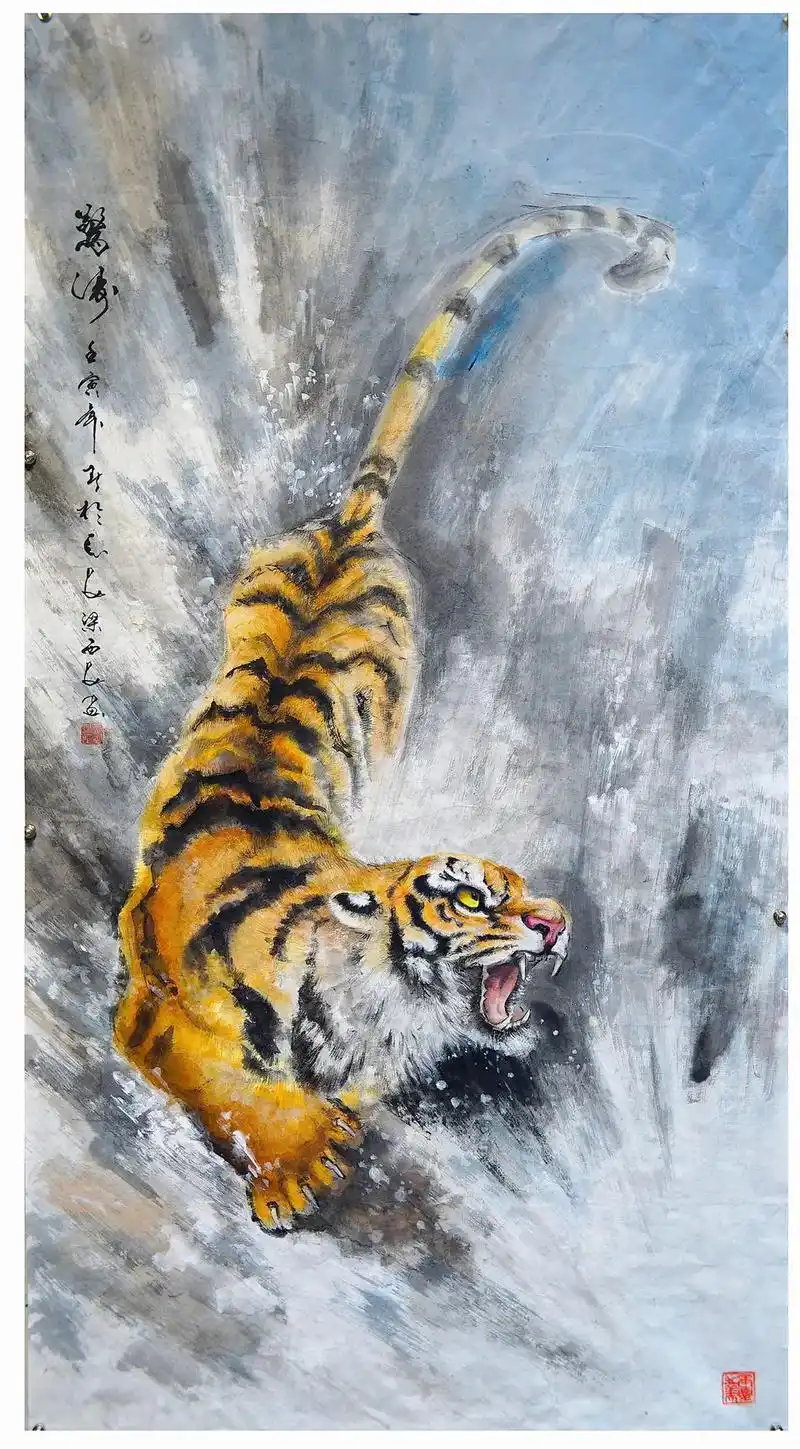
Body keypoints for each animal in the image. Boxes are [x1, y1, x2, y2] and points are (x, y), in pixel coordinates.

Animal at [115, 203, 676, 1232]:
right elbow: (222, 1083)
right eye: (471, 897)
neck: (378, 1008)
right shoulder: (151, 1008)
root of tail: (350, 518)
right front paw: (298, 1156)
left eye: (523, 885)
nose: (557, 920)